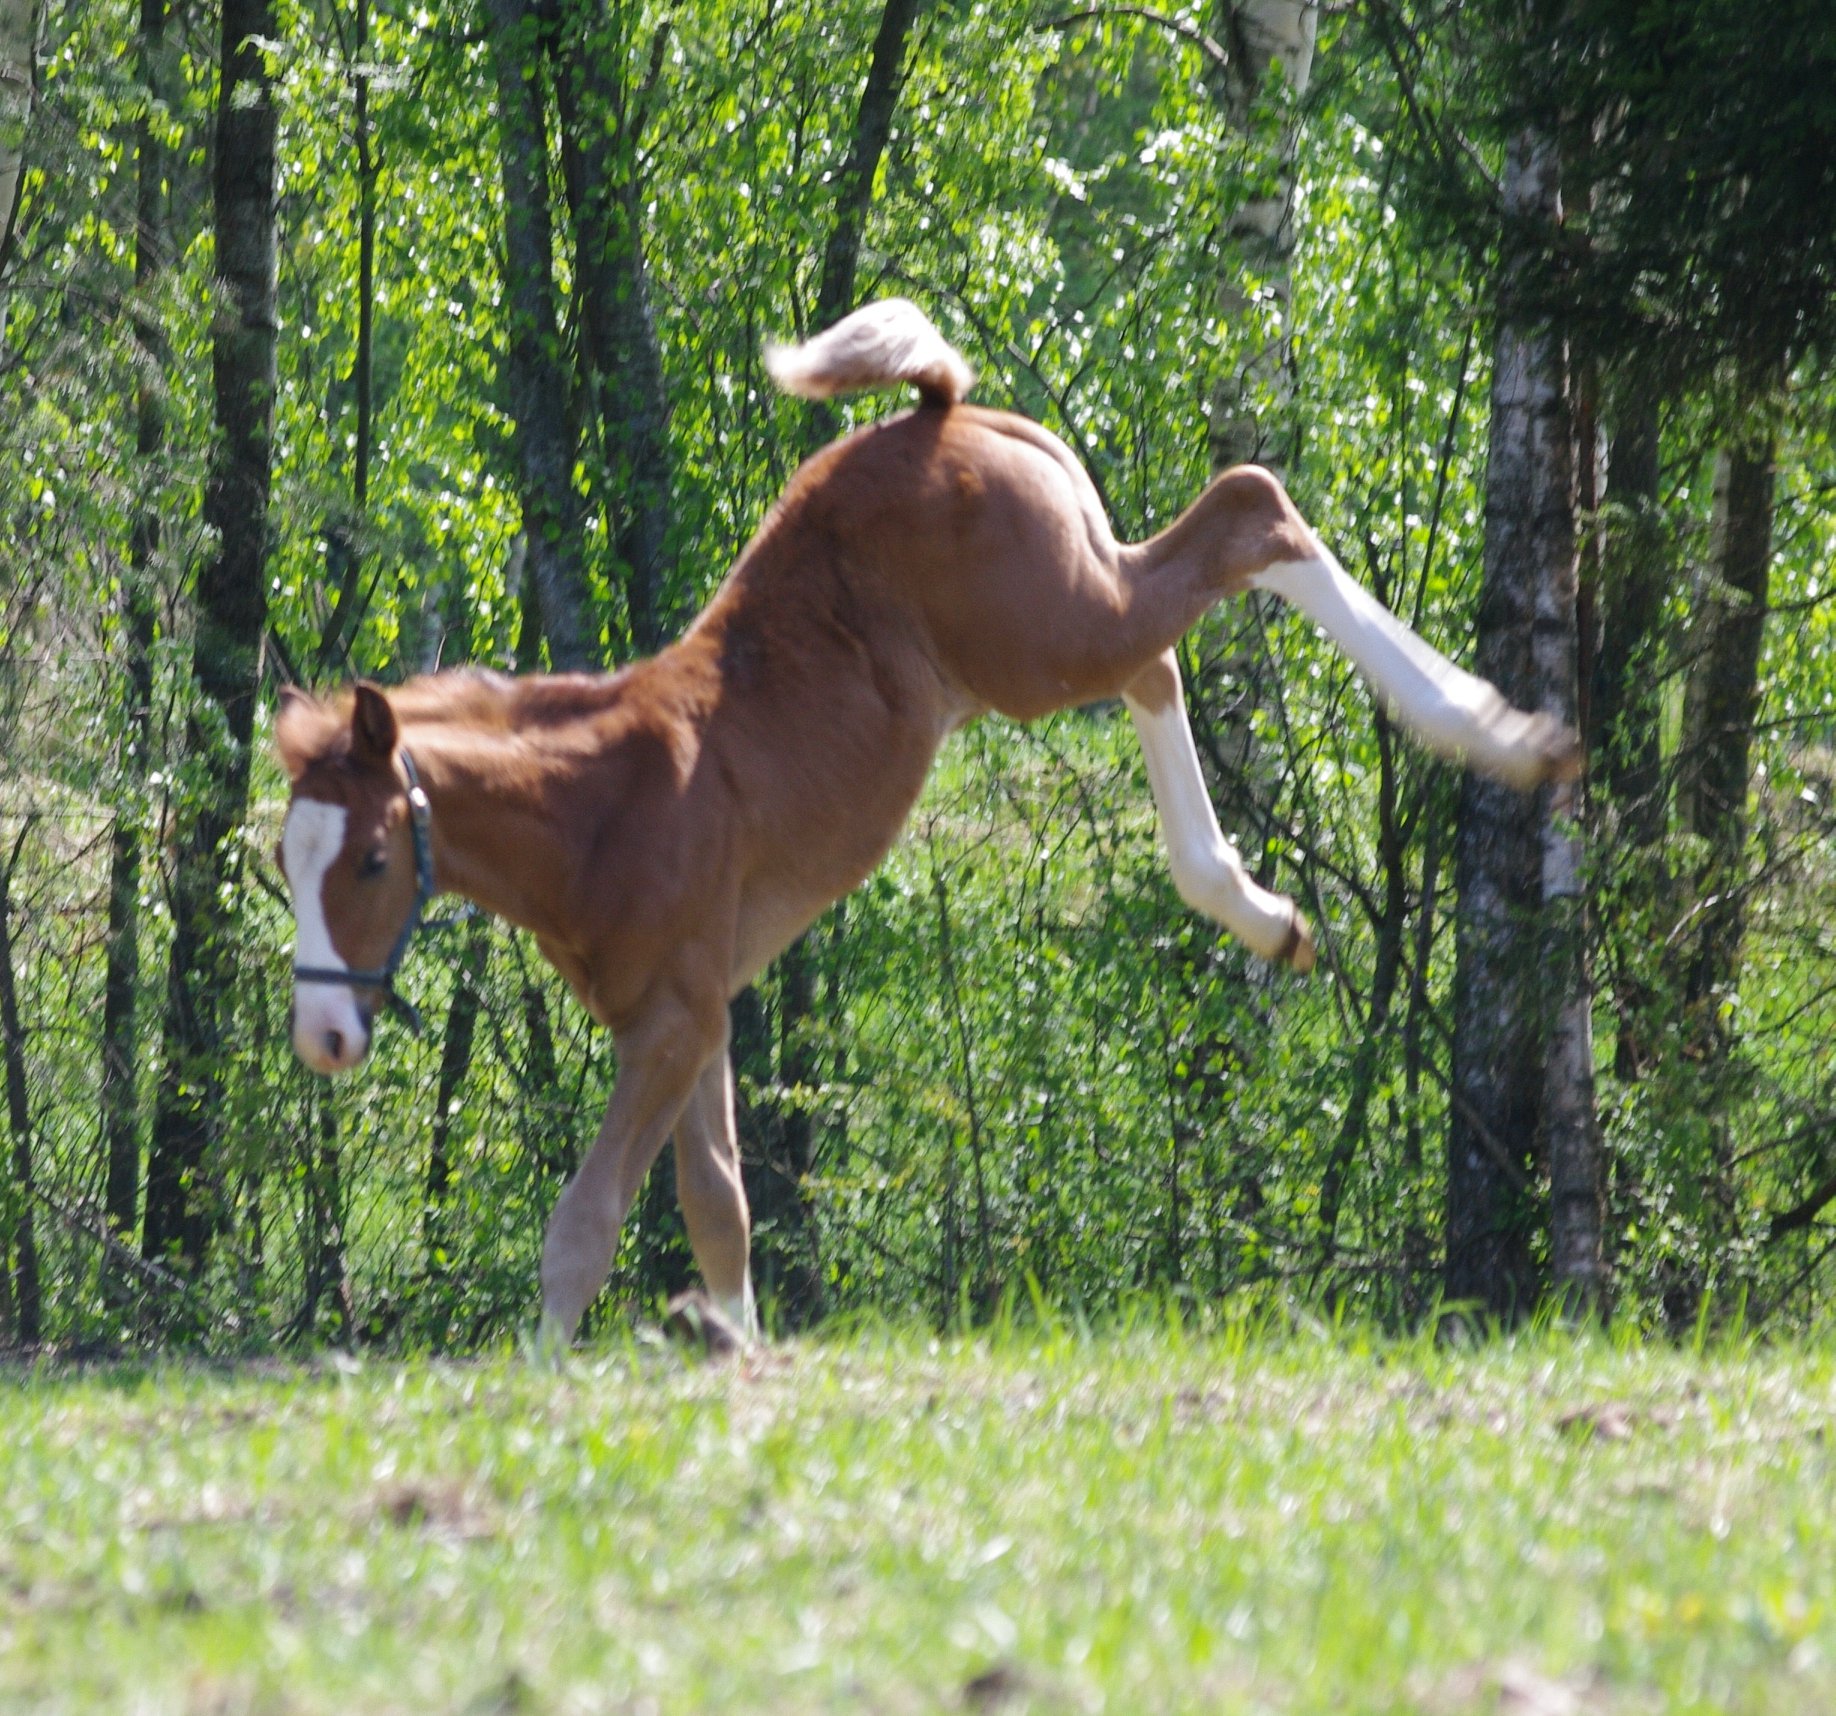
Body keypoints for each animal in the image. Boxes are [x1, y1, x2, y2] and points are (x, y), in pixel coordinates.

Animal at [276, 298, 1578, 1349]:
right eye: (284, 868)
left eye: (376, 859)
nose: (325, 1037)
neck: (601, 810)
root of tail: (943, 413)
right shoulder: (693, 1016)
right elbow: (721, 1211)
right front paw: (733, 1350)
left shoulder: (675, 1019)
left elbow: (586, 1225)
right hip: (1057, 628)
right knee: (1162, 652)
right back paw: (1255, 903)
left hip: (1047, 634)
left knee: (1246, 516)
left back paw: (1494, 729)